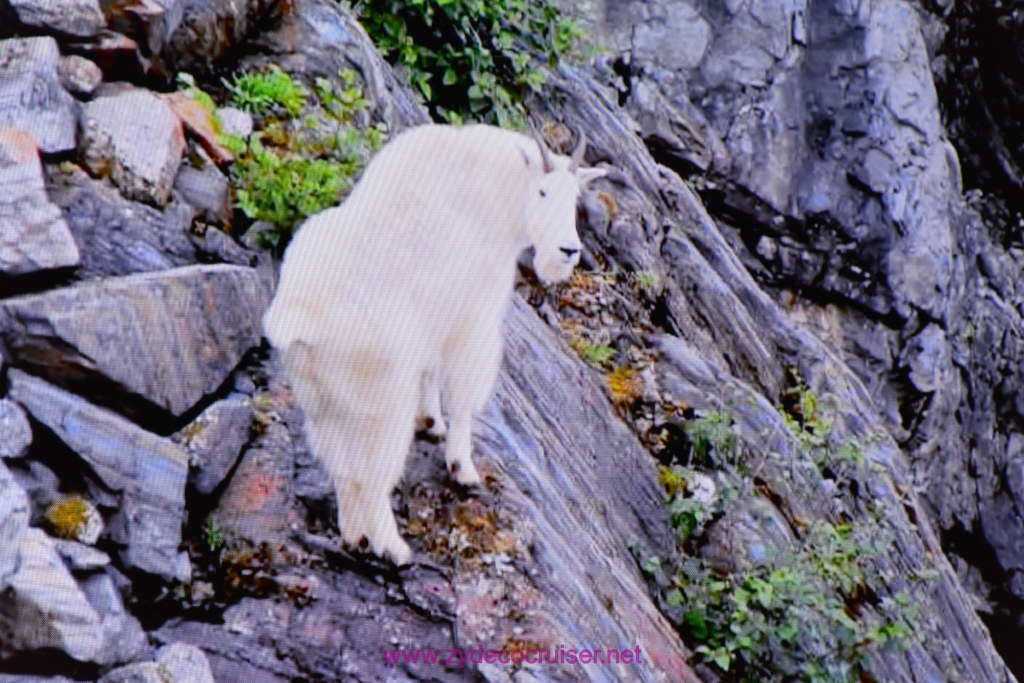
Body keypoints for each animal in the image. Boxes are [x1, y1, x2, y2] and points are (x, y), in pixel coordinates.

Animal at [260, 124, 606, 565]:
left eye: (575, 197)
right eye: (543, 191)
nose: (568, 251)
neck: (492, 194)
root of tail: (301, 314)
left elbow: (430, 371)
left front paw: (432, 423)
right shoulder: (473, 316)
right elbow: (462, 391)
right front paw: (463, 467)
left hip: (323, 402)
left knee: (342, 466)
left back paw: (355, 537)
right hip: (381, 402)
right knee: (372, 473)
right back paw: (393, 548)